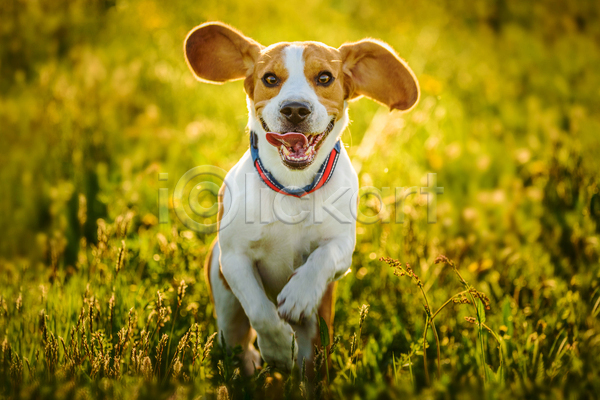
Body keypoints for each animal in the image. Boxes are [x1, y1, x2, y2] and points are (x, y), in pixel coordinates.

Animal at [183, 22, 418, 376]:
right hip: (225, 306)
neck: (292, 188)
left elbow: (323, 257)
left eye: (324, 78)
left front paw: (299, 293)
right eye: (270, 79)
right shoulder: (234, 258)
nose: (295, 109)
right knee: (237, 340)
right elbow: (260, 310)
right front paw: (279, 348)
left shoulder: (343, 248)